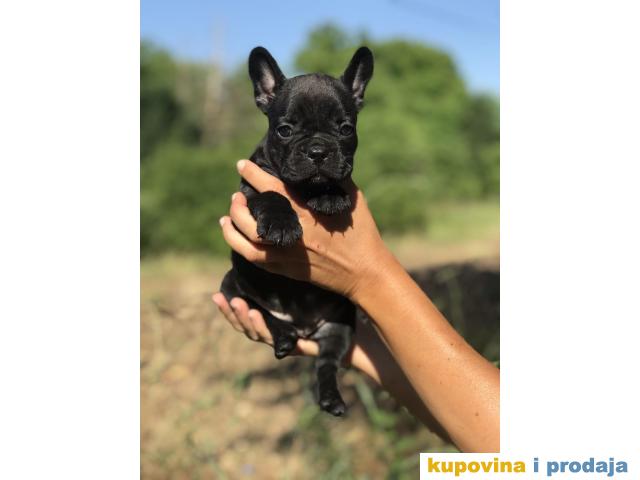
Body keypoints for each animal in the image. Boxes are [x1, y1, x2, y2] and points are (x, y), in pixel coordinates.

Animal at [221, 46, 374, 416]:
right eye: (285, 130)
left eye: (345, 129)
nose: (318, 151)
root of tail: (304, 328)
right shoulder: (247, 195)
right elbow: (271, 194)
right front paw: (282, 224)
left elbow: (333, 184)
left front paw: (330, 196)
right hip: (232, 283)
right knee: (259, 310)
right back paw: (284, 335)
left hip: (340, 326)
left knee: (327, 363)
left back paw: (332, 397)